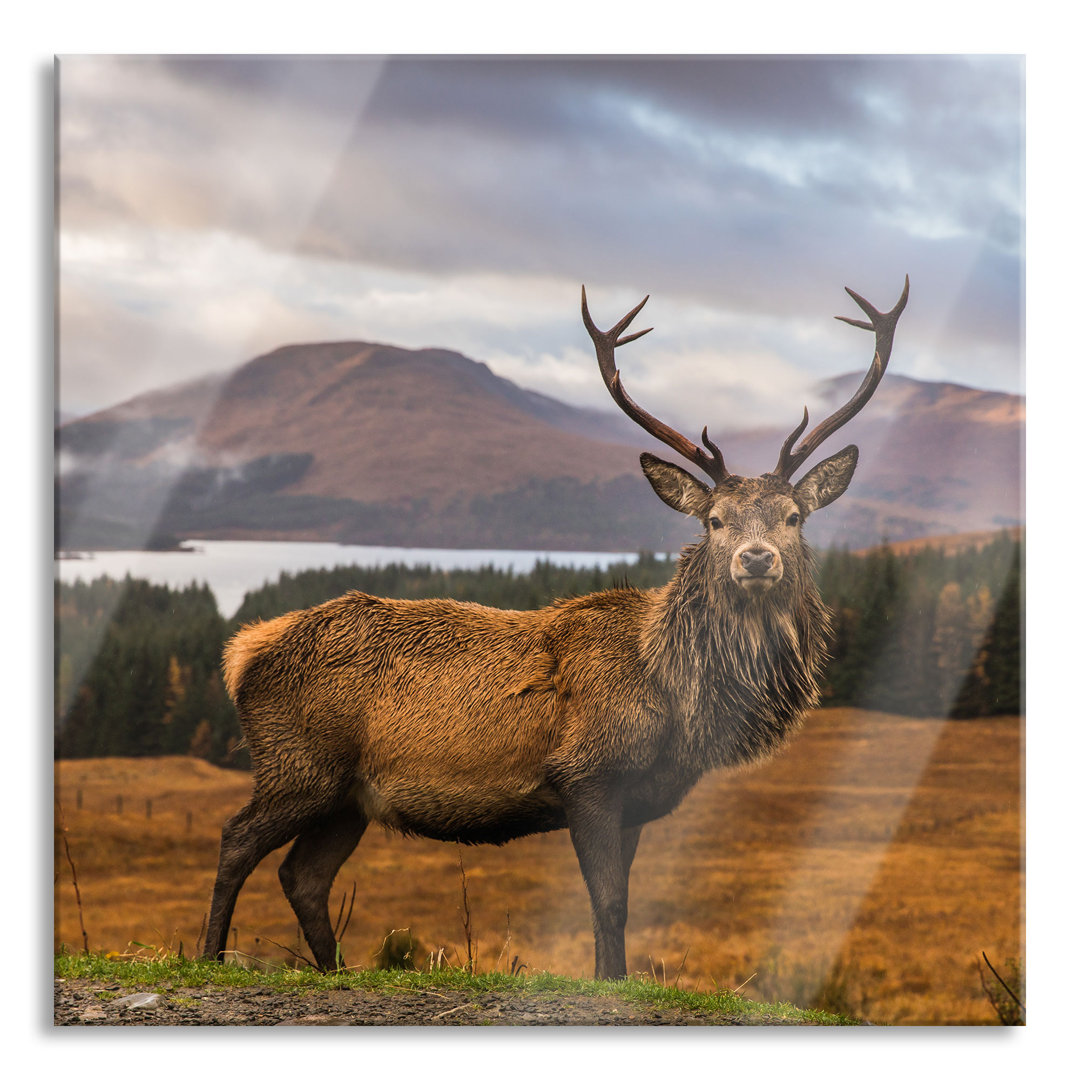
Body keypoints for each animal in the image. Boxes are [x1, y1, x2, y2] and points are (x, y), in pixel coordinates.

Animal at [200, 276, 902, 980]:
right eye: (715, 521)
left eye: (794, 517)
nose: (756, 559)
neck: (675, 697)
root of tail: (242, 652)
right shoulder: (585, 772)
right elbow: (609, 904)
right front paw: (610, 981)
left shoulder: (637, 800)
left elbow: (613, 906)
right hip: (299, 762)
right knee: (236, 840)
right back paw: (210, 956)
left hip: (347, 796)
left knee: (303, 876)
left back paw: (336, 970)